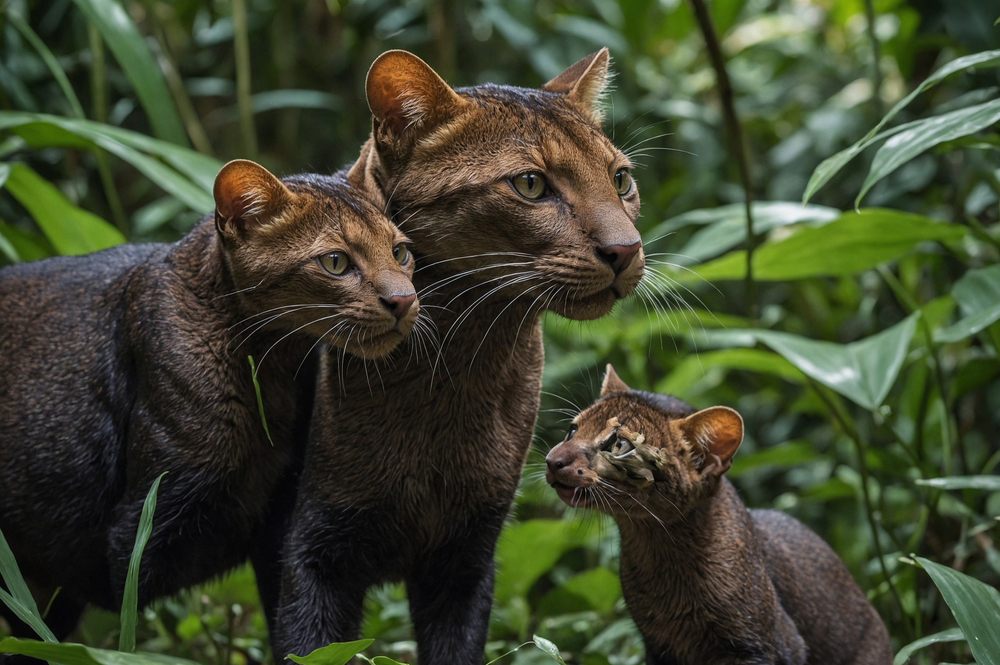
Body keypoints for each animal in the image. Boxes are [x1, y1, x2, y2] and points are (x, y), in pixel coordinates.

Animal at [0, 160, 418, 644]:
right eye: (335, 261)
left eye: (400, 252)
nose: (404, 299)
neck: (270, 377)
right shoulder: (137, 532)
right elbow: (131, 634)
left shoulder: (278, 521)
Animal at [272, 49, 648, 660]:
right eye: (530, 184)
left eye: (621, 180)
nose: (627, 249)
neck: (451, 371)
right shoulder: (312, 549)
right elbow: (308, 645)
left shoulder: (468, 552)